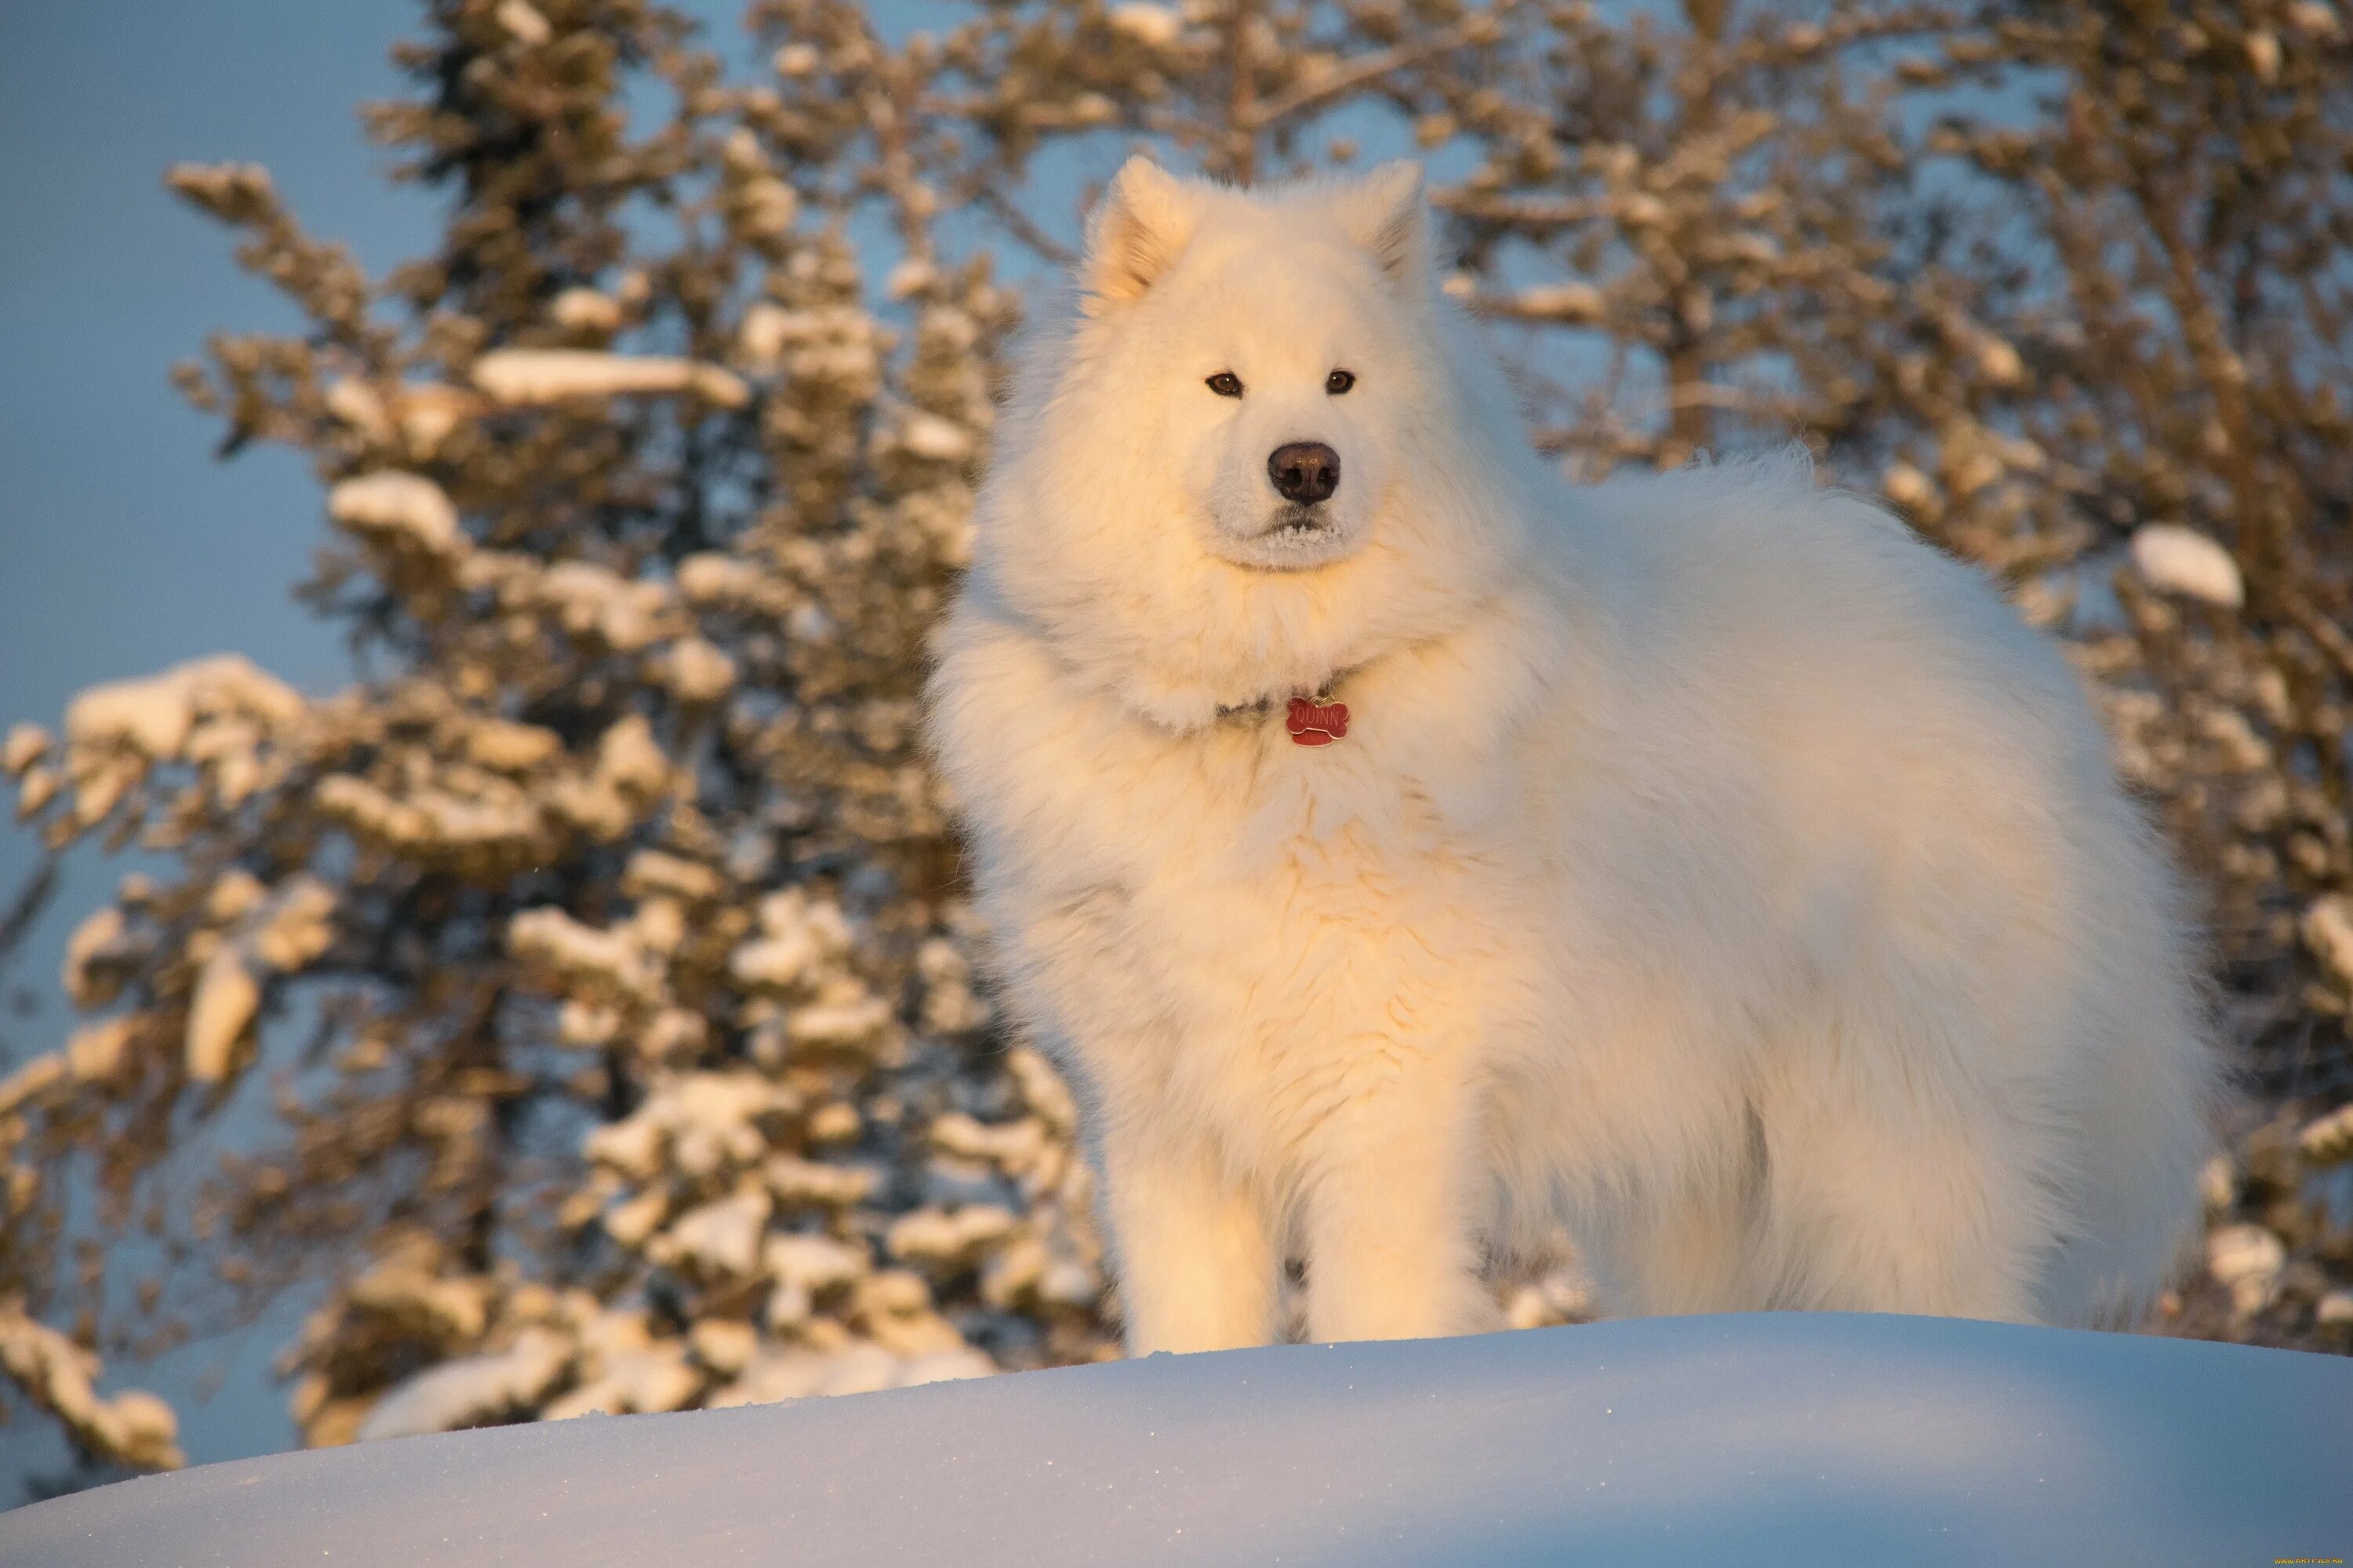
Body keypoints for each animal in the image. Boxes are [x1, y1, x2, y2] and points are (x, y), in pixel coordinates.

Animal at [927, 155, 2212, 1346]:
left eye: (1344, 380)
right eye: (1222, 382)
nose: (1306, 465)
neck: (1276, 704)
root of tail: (2009, 643)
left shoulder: (1389, 1087)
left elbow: (1373, 1303)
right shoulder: (1161, 1110)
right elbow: (1188, 1323)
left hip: (1886, 1134)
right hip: (1701, 1178)